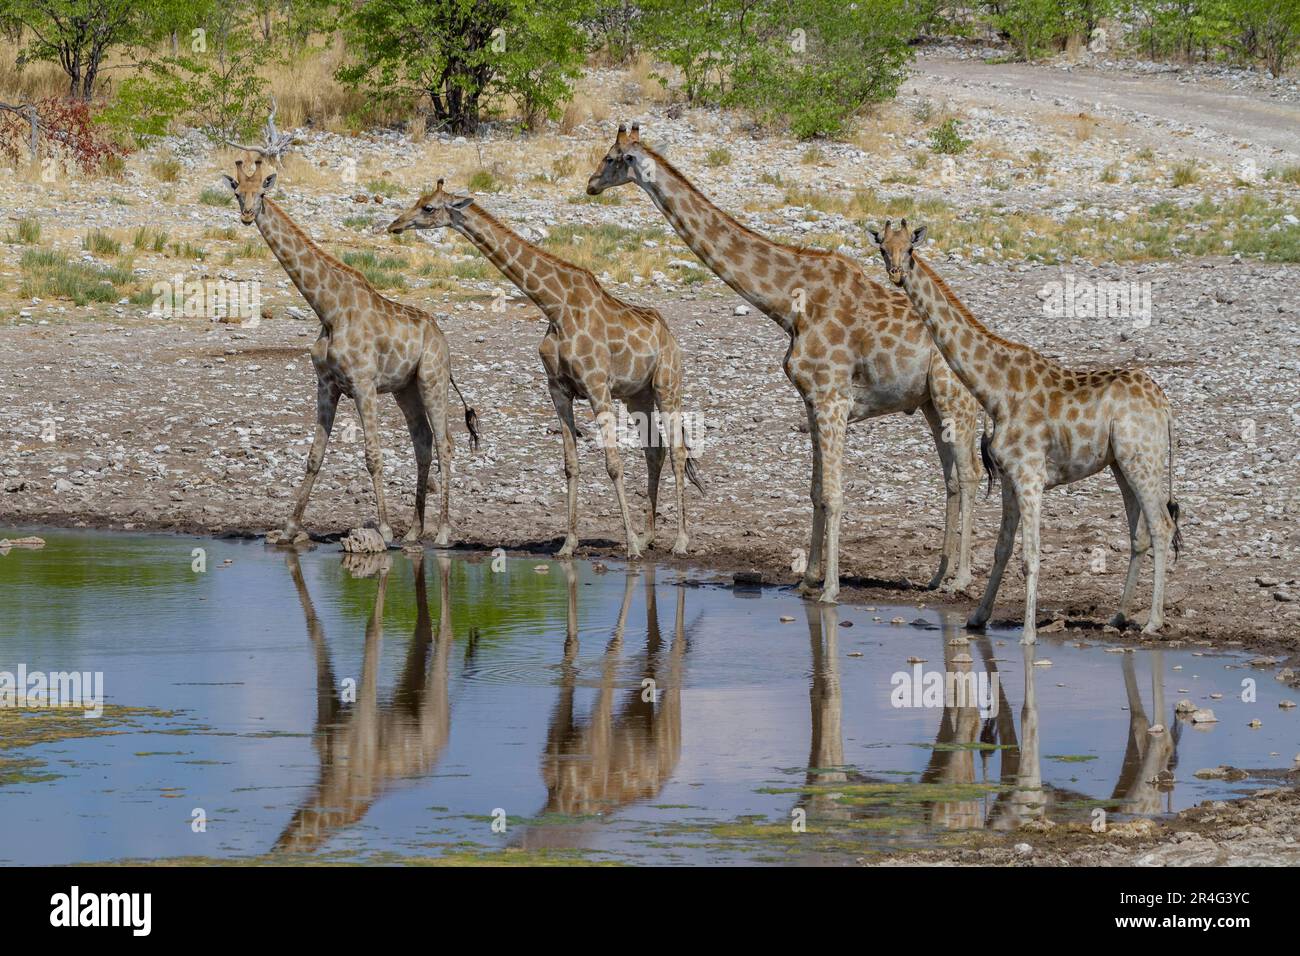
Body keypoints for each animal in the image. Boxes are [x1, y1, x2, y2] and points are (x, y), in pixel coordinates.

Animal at [222, 157, 478, 548]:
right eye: (238, 192)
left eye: (262, 192)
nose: (248, 214)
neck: (328, 310)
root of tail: (440, 336)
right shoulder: (327, 385)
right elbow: (314, 456)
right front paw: (288, 529)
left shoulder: (363, 384)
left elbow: (373, 454)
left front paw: (383, 530)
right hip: (406, 389)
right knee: (422, 441)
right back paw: (414, 531)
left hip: (433, 379)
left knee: (445, 443)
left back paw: (443, 532)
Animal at [384, 179, 702, 561]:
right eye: (418, 201)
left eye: (428, 207)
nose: (395, 225)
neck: (555, 307)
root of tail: (669, 336)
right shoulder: (559, 389)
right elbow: (570, 464)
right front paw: (569, 544)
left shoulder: (597, 386)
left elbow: (613, 464)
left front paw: (629, 548)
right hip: (637, 394)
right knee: (654, 452)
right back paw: (648, 536)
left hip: (667, 383)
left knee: (677, 452)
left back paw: (680, 541)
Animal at [585, 123, 977, 600]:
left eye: (611, 157)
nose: (590, 185)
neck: (791, 304)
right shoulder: (811, 401)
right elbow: (815, 491)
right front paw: (808, 579)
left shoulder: (832, 398)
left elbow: (834, 493)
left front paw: (830, 589)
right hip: (928, 404)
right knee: (952, 479)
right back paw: (938, 577)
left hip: (954, 399)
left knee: (970, 476)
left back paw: (961, 578)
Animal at [868, 221, 1185, 647]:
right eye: (883, 248)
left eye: (911, 251)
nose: (896, 274)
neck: (995, 391)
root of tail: (1164, 406)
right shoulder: (1008, 477)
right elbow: (1001, 548)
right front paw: (977, 617)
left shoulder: (1031, 475)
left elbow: (1030, 555)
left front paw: (1029, 635)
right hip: (1123, 463)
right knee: (1141, 534)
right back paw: (1118, 617)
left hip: (1143, 460)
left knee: (1163, 526)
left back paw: (1152, 622)